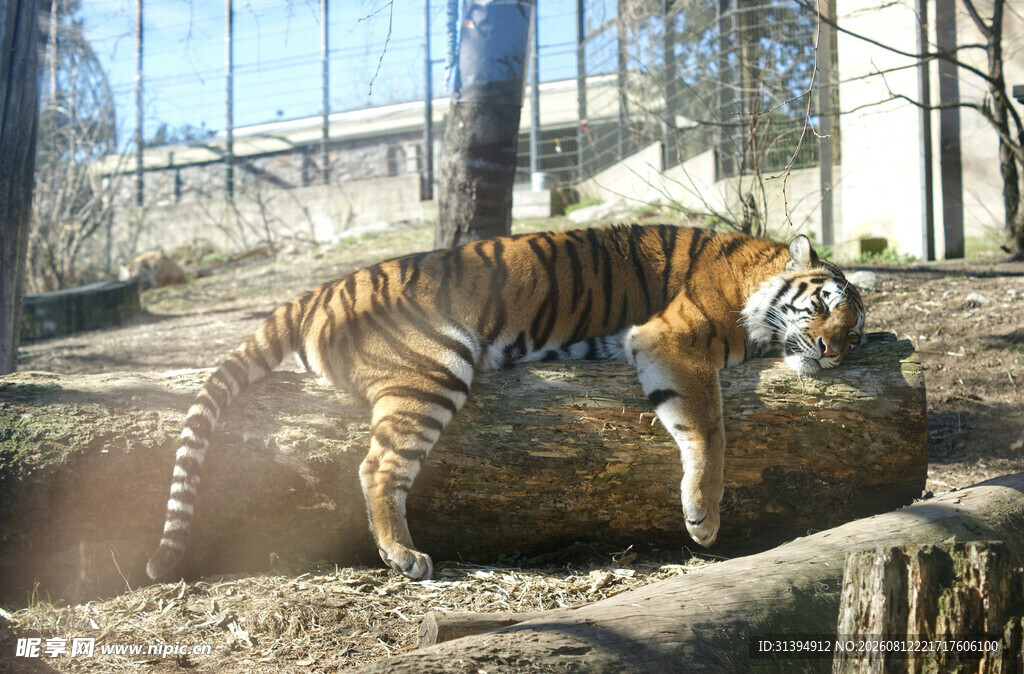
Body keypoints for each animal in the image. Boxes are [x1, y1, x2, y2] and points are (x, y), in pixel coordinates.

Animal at [146, 224, 865, 582]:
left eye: (855, 328)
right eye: (824, 306)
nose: (834, 352)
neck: (756, 273)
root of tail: (319, 290)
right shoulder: (673, 340)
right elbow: (710, 430)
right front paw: (703, 519)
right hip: (436, 365)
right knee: (377, 467)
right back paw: (404, 557)